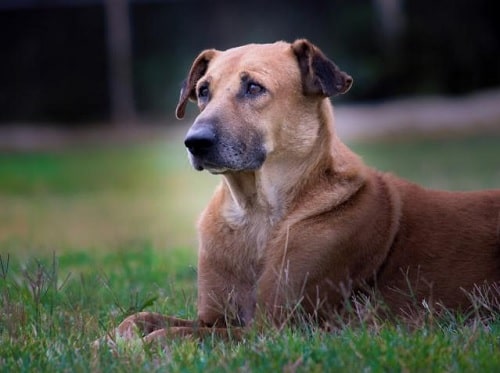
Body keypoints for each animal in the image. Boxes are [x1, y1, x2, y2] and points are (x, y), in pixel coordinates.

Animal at [107, 40, 498, 342]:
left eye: (253, 87)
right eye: (203, 91)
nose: (194, 142)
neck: (255, 213)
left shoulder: (274, 327)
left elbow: (173, 335)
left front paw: (140, 347)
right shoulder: (215, 316)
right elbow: (139, 320)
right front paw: (111, 340)